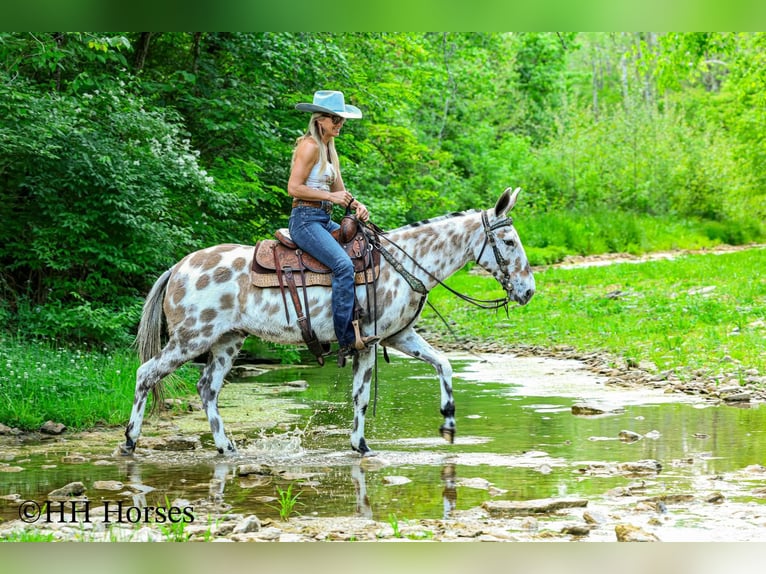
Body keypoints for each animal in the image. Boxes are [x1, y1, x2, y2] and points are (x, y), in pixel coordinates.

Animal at [121, 187, 535, 457]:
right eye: (509, 242)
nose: (528, 291)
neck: (404, 263)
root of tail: (178, 266)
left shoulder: (399, 337)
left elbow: (443, 364)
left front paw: (448, 424)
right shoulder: (368, 342)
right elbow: (362, 395)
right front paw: (362, 445)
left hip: (227, 341)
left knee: (207, 389)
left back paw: (226, 447)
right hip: (190, 338)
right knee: (146, 374)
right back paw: (129, 442)